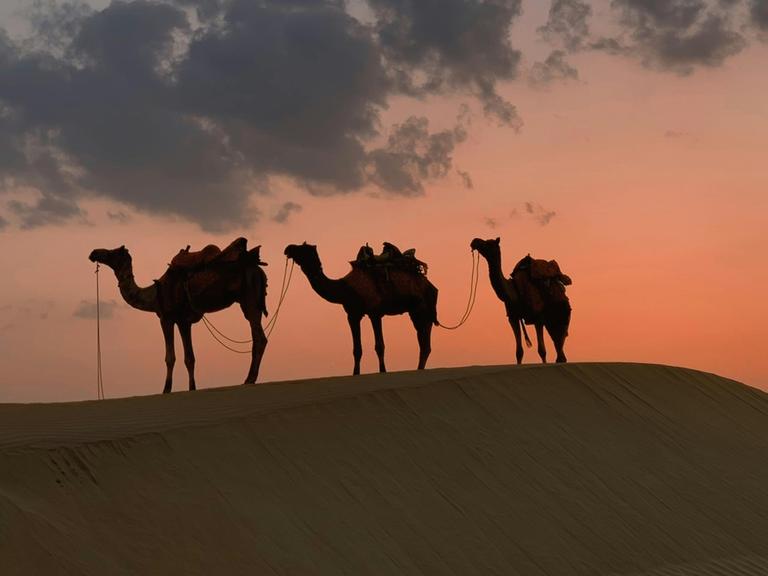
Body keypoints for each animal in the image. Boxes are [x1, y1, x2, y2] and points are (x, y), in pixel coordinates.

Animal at [89, 237, 268, 392]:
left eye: (113, 252)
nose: (93, 253)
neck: (154, 294)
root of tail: (258, 268)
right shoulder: (184, 321)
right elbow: (190, 358)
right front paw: (192, 388)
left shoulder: (166, 318)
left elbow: (170, 357)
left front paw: (166, 389)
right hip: (251, 301)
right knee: (260, 335)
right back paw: (250, 378)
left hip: (250, 298)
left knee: (258, 337)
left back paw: (249, 379)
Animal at [284, 242, 438, 374]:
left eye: (302, 248)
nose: (288, 248)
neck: (346, 289)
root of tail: (430, 285)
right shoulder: (353, 315)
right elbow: (357, 350)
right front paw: (355, 373)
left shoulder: (375, 312)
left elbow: (379, 346)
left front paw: (383, 371)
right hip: (416, 312)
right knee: (424, 343)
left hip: (422, 309)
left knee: (424, 342)